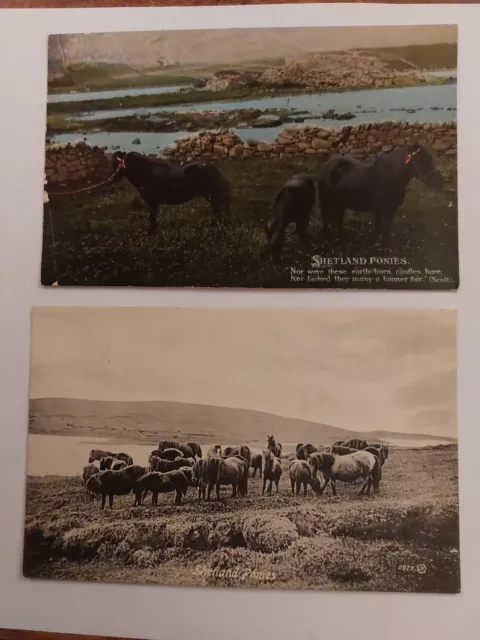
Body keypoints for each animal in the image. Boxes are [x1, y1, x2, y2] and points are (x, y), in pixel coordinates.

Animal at [316, 142, 444, 242]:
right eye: (422, 160)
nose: (440, 182)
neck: (392, 177)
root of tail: (327, 165)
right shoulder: (388, 211)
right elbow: (385, 230)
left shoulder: (380, 210)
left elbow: (379, 229)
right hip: (326, 201)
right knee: (326, 218)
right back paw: (328, 235)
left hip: (341, 203)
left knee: (338, 219)